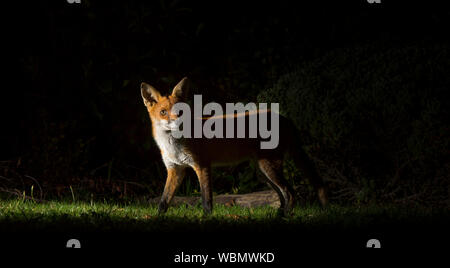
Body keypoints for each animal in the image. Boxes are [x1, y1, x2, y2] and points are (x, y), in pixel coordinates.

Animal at [141, 76, 326, 215]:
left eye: (180, 111)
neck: (174, 145)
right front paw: (157, 219)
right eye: (163, 112)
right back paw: (279, 214)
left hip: (269, 167)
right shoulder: (175, 169)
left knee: (291, 193)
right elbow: (163, 201)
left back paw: (284, 216)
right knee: (283, 195)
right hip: (263, 172)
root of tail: (282, 117)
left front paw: (207, 218)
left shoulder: (202, 165)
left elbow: (206, 200)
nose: (178, 122)